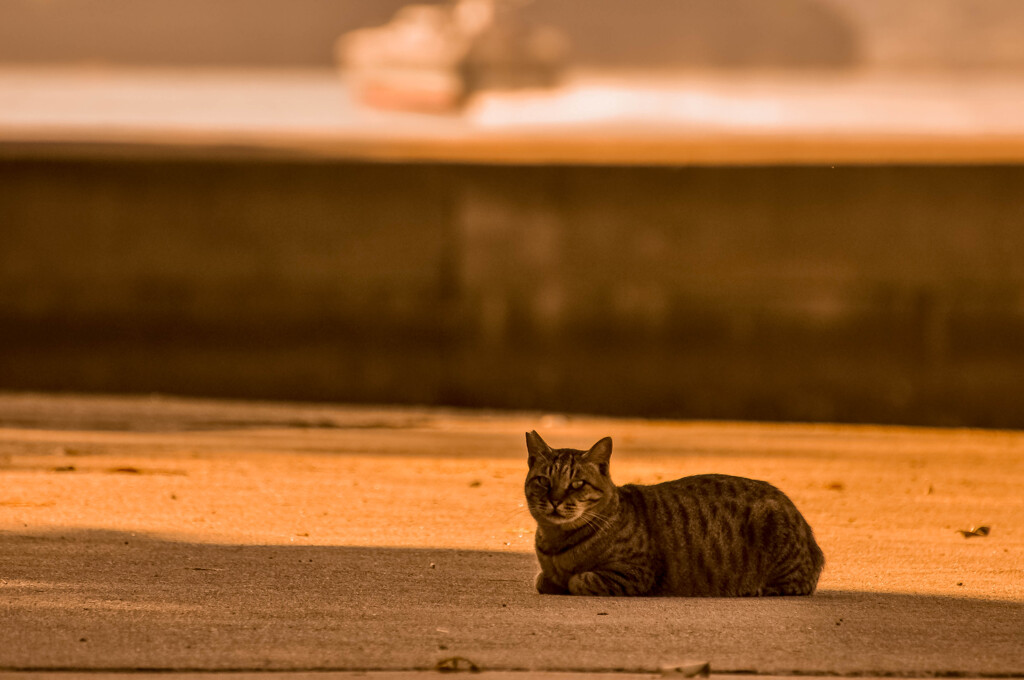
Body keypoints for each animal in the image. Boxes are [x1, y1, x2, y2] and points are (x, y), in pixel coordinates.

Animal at [524, 430, 827, 593]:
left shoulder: (634, 573)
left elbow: (579, 579)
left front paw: (568, 581)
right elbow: (543, 579)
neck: (556, 543)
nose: (554, 500)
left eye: (577, 483)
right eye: (544, 481)